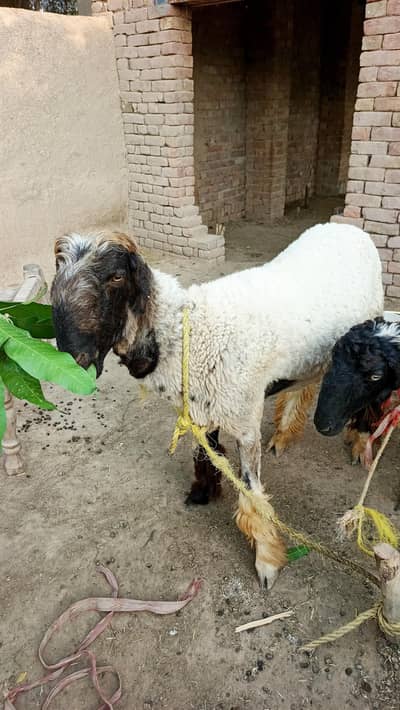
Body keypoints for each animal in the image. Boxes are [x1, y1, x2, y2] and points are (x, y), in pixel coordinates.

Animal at [50, 223, 383, 590]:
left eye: (116, 277)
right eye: (57, 272)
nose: (74, 357)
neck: (191, 334)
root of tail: (345, 226)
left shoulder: (245, 422)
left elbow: (252, 493)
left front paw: (266, 562)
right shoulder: (202, 408)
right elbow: (204, 452)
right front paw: (203, 492)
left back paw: (359, 445)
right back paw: (284, 435)